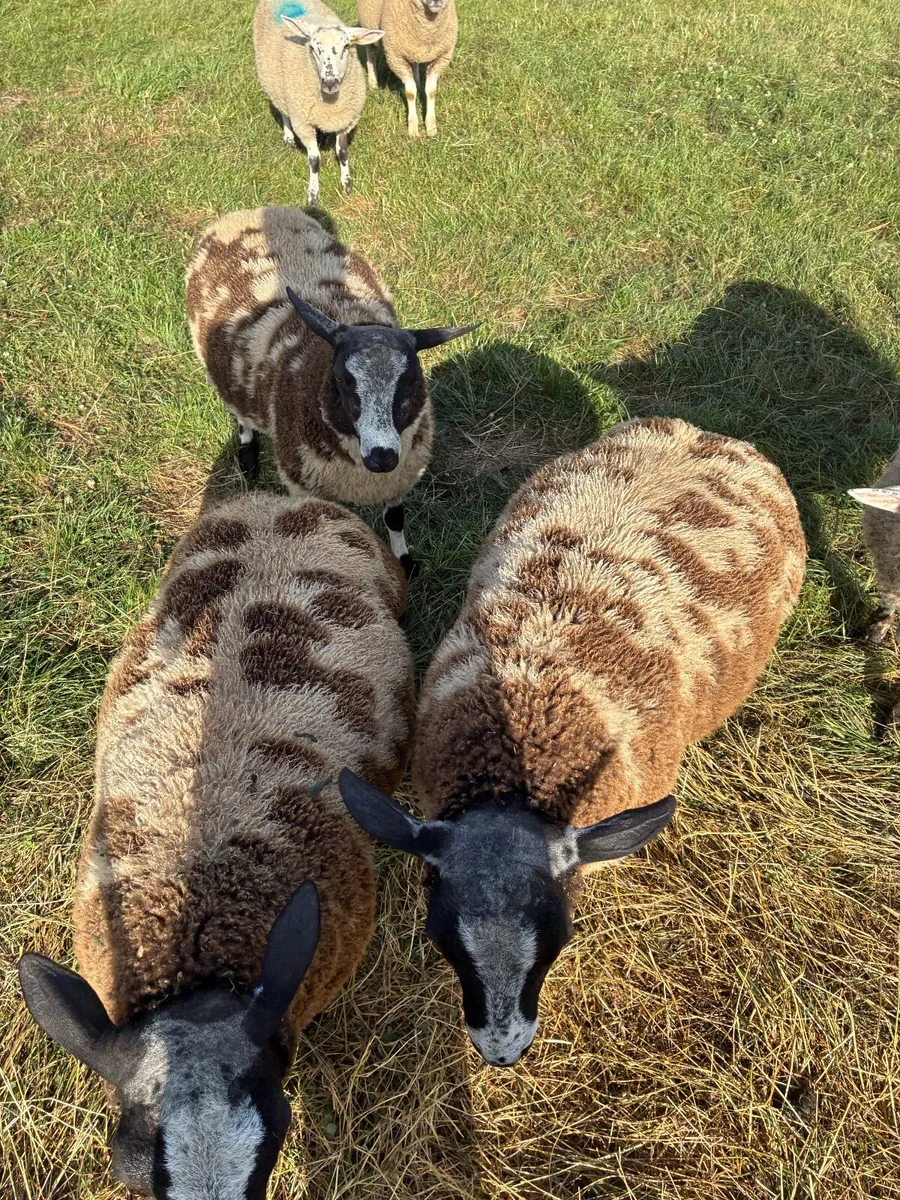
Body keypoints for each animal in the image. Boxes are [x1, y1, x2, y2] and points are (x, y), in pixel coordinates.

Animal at [186, 206, 474, 576]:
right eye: (341, 379)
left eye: (411, 379)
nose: (382, 456)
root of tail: (247, 213)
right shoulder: (304, 483)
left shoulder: (399, 476)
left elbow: (395, 519)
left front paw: (405, 563)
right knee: (239, 412)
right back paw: (248, 456)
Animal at [253, 0, 384, 205]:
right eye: (313, 49)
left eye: (346, 46)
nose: (329, 82)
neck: (330, 105)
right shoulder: (303, 124)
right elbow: (314, 160)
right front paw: (313, 195)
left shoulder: (346, 120)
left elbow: (343, 152)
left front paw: (347, 184)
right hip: (277, 86)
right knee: (283, 111)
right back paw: (288, 138)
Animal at [356, 0, 458, 139]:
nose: (437, 1)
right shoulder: (397, 58)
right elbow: (410, 93)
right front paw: (413, 129)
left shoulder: (441, 57)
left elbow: (431, 91)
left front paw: (431, 128)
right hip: (370, 27)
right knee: (371, 54)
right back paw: (373, 84)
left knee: (414, 63)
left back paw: (418, 83)